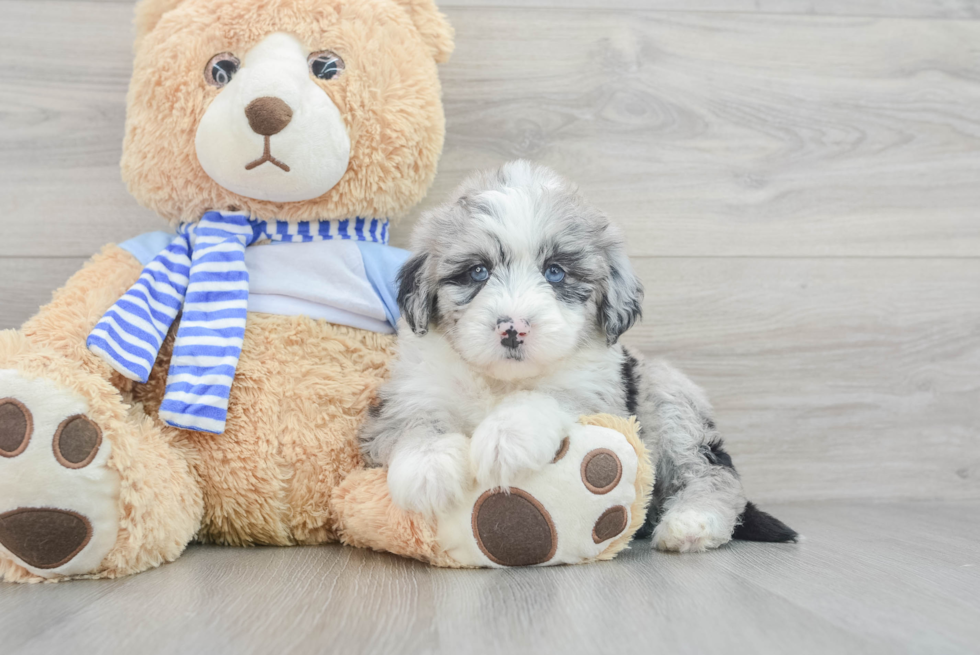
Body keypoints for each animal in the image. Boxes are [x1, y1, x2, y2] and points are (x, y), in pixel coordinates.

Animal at [360, 161, 796, 552]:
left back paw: (690, 524)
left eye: (555, 272)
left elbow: (545, 397)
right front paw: (427, 469)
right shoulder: (409, 393)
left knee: (712, 473)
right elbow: (414, 423)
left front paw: (505, 437)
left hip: (670, 399)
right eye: (477, 272)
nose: (513, 328)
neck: (502, 381)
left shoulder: (596, 395)